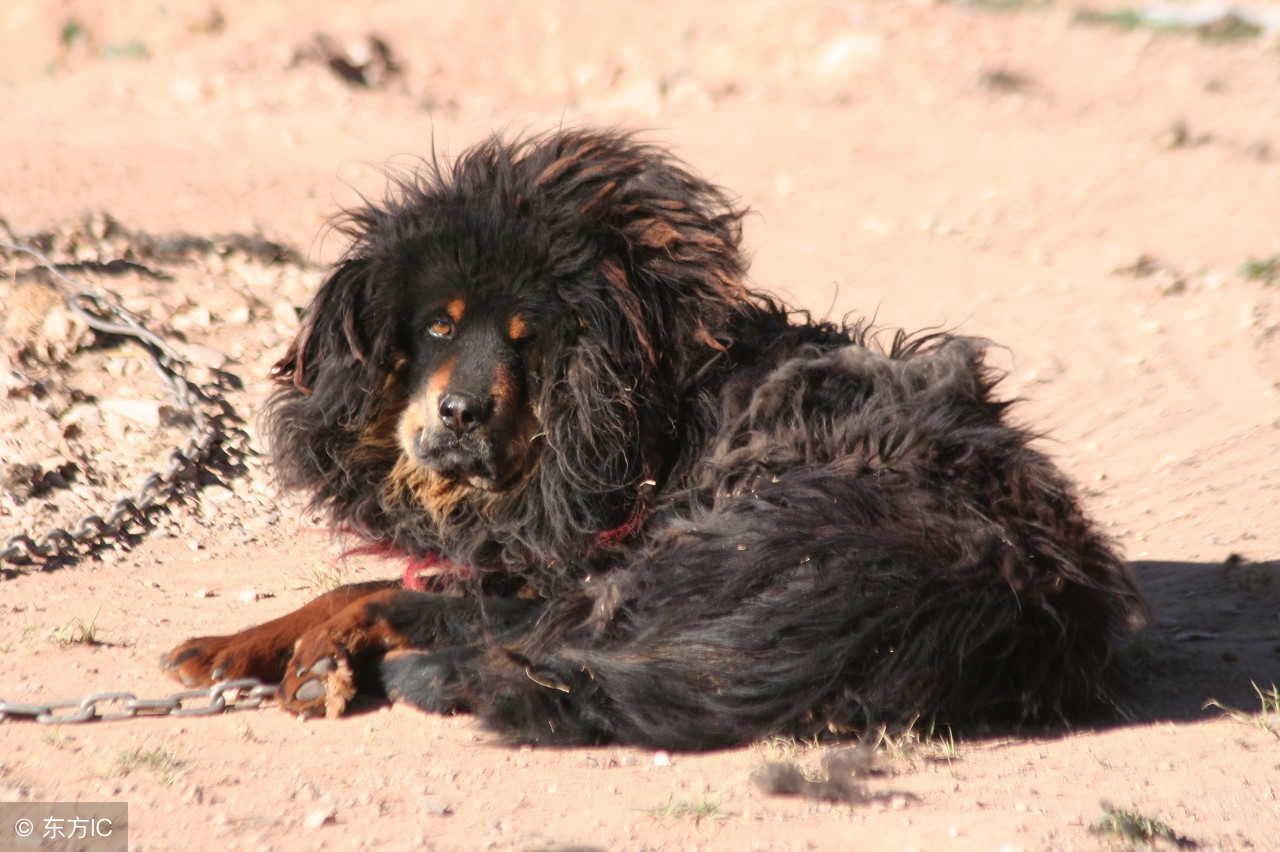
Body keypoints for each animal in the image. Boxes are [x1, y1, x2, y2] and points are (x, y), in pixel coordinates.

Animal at [162, 126, 1152, 741]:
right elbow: (353, 588)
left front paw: (321, 655)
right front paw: (234, 648)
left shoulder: (558, 567)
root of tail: (1016, 589)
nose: (461, 413)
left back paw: (420, 671)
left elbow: (376, 593)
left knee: (539, 651)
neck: (647, 425)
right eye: (438, 327)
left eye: (530, 342)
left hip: (725, 541)